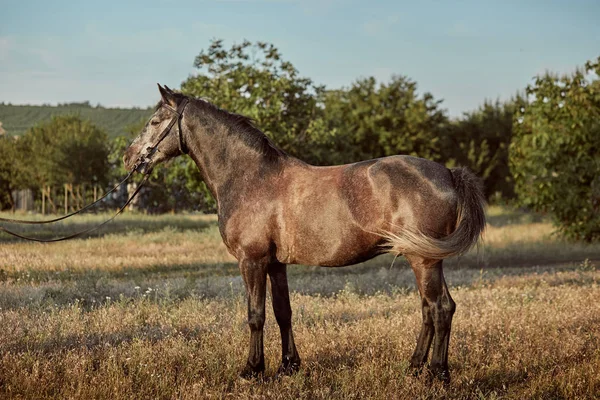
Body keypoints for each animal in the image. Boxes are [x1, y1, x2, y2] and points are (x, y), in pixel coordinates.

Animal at [124, 84, 486, 384]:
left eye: (155, 121)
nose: (129, 157)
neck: (251, 177)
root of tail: (449, 173)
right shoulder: (275, 264)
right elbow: (283, 312)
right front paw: (288, 366)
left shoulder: (252, 261)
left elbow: (256, 315)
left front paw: (252, 370)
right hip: (425, 259)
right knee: (430, 309)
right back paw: (413, 367)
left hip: (424, 260)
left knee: (440, 308)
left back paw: (437, 374)